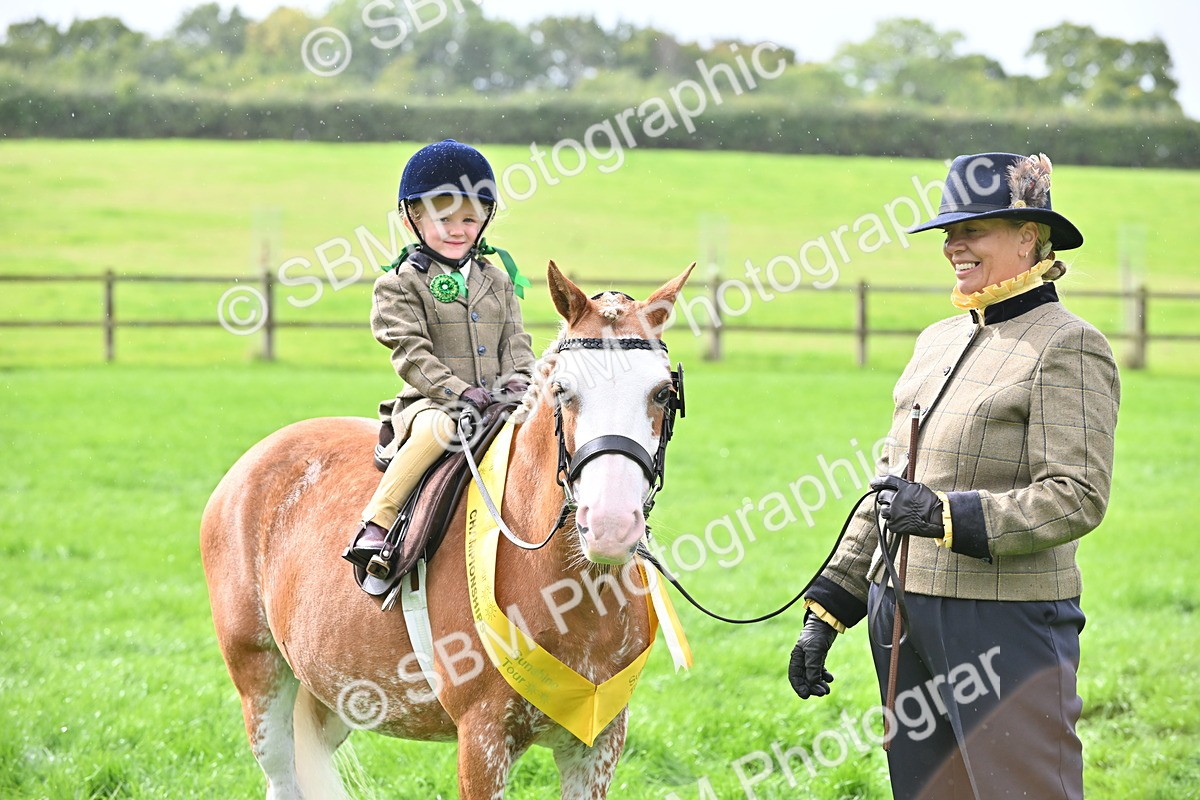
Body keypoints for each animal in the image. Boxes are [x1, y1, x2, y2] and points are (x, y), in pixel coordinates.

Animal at [201, 262, 693, 799]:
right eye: (564, 391)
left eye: (662, 393)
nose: (609, 525)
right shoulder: (482, 740)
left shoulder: (597, 743)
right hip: (261, 679)